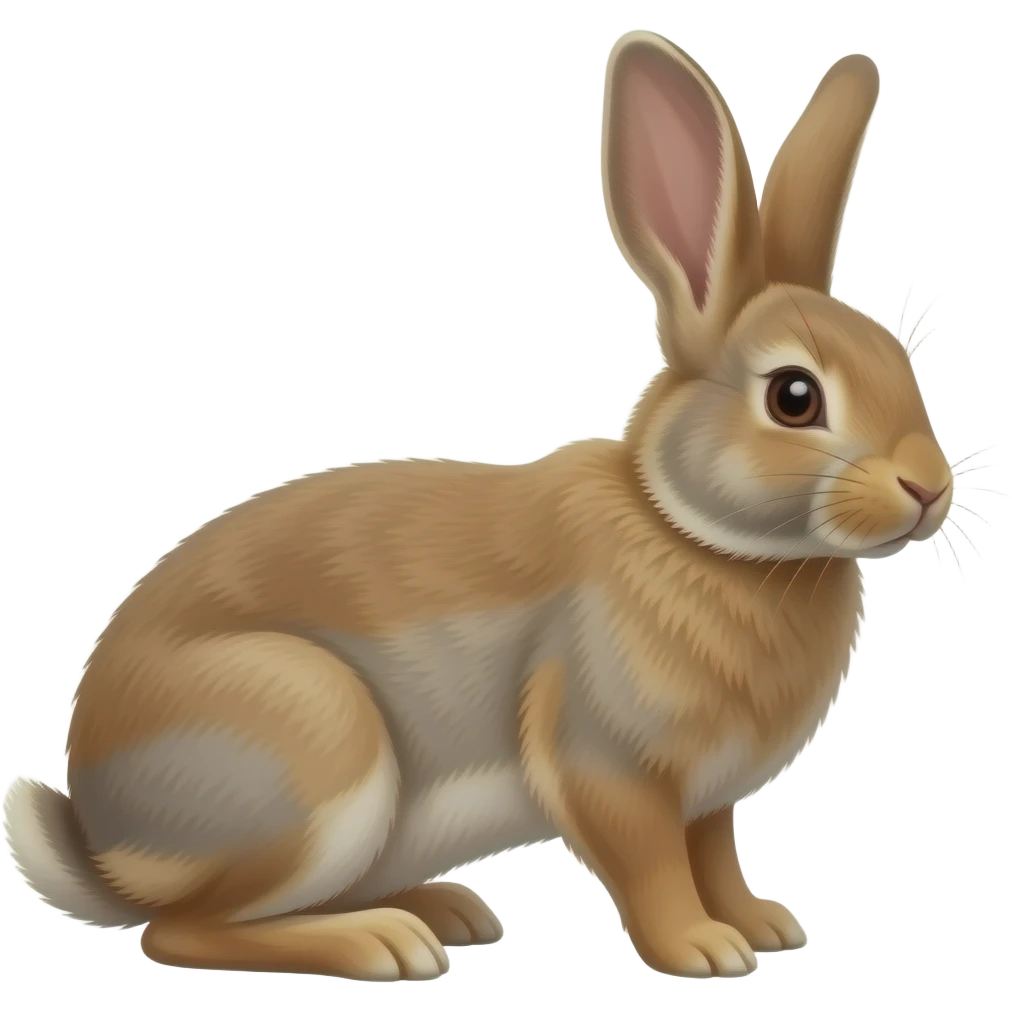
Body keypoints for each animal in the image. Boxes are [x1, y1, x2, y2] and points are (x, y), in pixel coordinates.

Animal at [3, 31, 956, 982]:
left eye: (901, 361)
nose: (929, 488)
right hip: (310, 743)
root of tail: (102, 837)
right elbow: (651, 866)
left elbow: (716, 855)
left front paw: (763, 925)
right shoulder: (611, 768)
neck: (689, 531)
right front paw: (701, 949)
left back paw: (441, 910)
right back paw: (384, 943)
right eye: (795, 397)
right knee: (181, 931)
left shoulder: (705, 799)